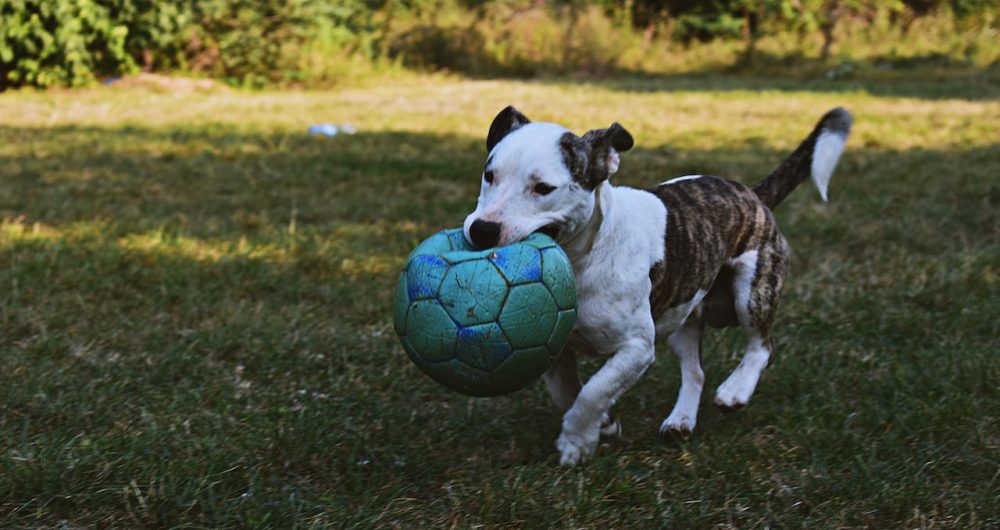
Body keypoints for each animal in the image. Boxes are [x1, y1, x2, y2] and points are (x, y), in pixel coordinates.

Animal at [462, 105, 852, 464]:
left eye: (544, 188)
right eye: (489, 175)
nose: (483, 230)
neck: (583, 258)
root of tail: (752, 195)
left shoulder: (636, 347)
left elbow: (594, 390)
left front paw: (577, 442)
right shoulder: (549, 345)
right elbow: (566, 391)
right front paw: (604, 424)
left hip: (754, 289)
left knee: (762, 345)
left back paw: (735, 391)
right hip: (684, 314)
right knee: (695, 370)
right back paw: (681, 420)